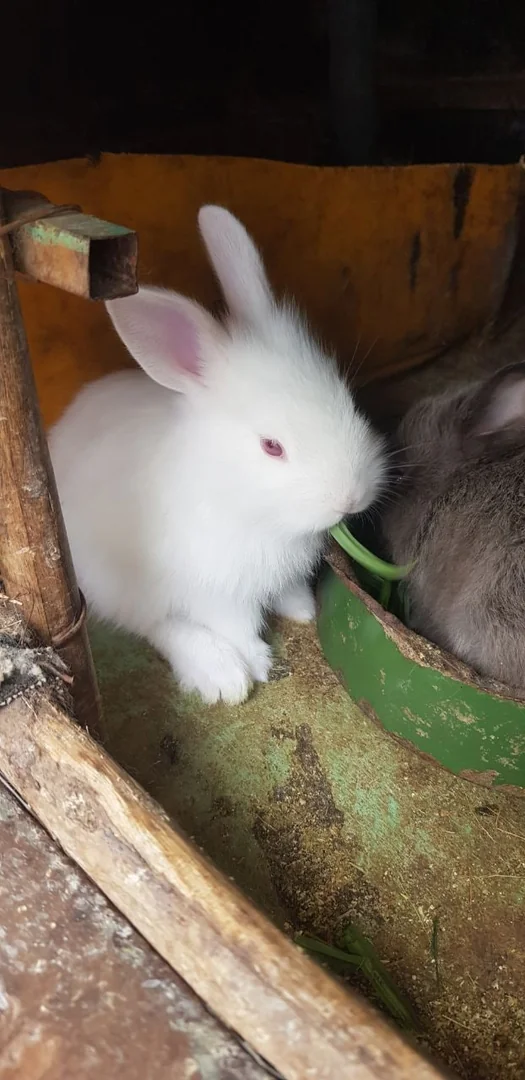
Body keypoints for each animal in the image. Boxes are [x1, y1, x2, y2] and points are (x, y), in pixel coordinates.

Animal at [49, 205, 386, 705]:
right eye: (271, 446)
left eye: (347, 399)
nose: (351, 498)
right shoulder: (218, 589)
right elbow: (238, 626)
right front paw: (258, 662)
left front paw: (302, 608)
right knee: (157, 624)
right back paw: (222, 674)